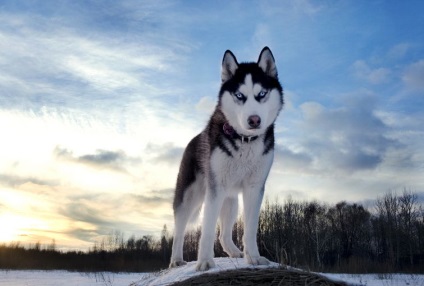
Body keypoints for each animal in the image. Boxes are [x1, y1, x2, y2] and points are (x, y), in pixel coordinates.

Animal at [170, 47, 284, 270]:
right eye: (239, 95)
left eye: (262, 94)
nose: (254, 120)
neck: (244, 140)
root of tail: (193, 140)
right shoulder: (215, 189)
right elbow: (206, 230)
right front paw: (205, 261)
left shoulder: (254, 188)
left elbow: (250, 228)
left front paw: (254, 257)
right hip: (190, 197)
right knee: (179, 231)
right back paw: (176, 260)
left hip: (230, 201)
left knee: (223, 235)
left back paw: (234, 252)